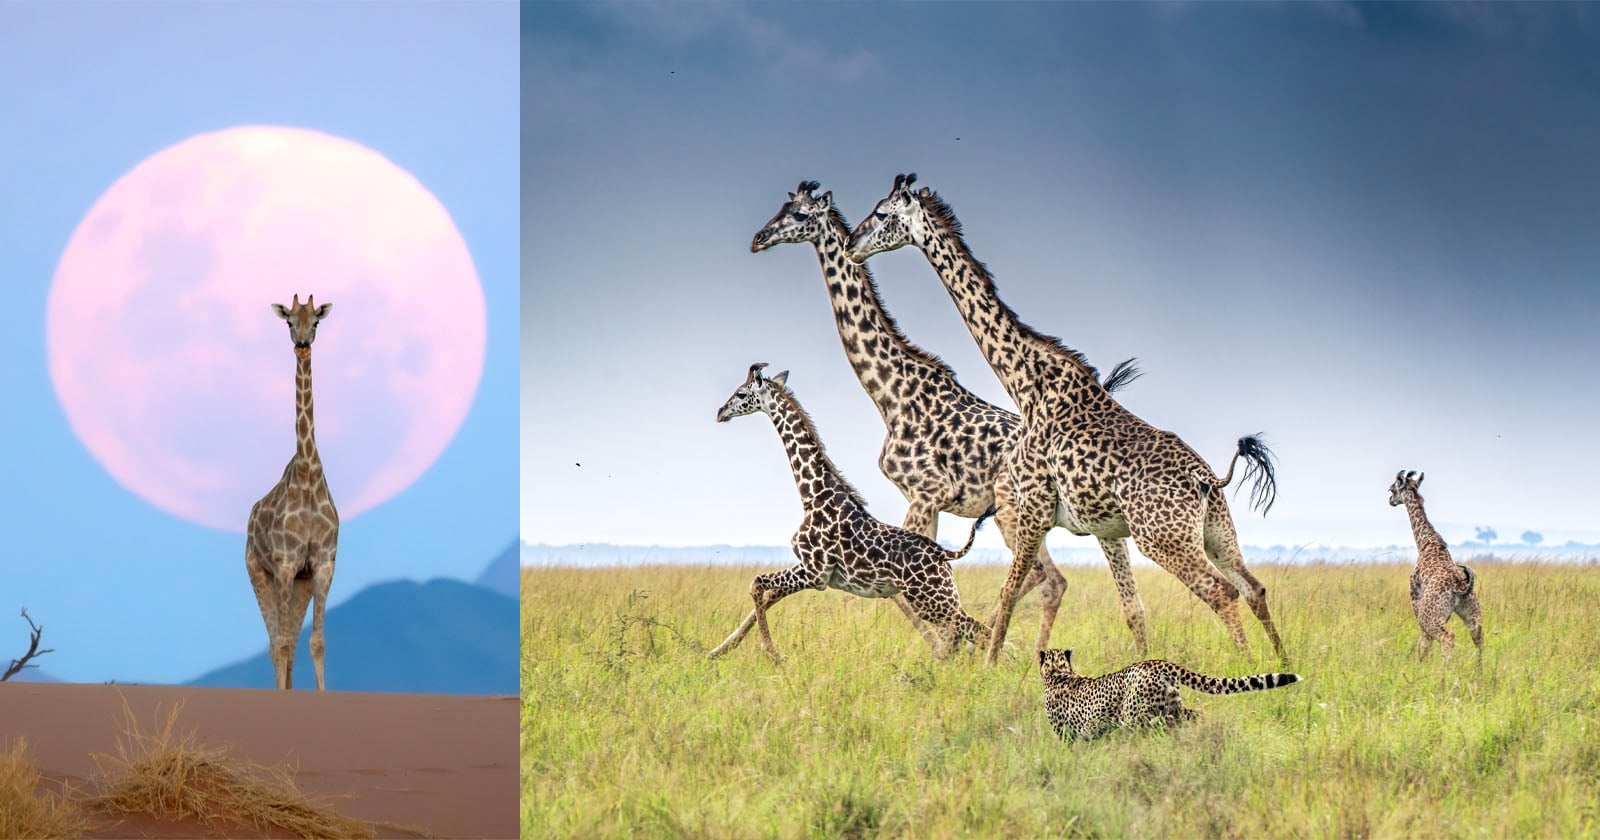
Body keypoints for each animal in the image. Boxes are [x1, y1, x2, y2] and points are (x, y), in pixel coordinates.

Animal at [707, 363, 992, 660]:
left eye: (741, 393)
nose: (720, 412)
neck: (813, 495)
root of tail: (945, 554)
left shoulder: (814, 572)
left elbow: (757, 583)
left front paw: (774, 654)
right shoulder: (811, 571)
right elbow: (765, 592)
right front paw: (720, 650)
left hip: (931, 598)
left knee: (979, 631)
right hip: (938, 598)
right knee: (967, 634)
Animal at [752, 179, 1148, 652]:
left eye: (797, 215)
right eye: (781, 207)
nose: (758, 238)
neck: (891, 393)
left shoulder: (925, 494)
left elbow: (902, 587)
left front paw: (944, 649)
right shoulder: (928, 501)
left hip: (1016, 515)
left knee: (1045, 579)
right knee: (1071, 584)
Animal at [848, 174, 1285, 666]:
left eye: (882, 213)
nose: (852, 244)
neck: (1026, 384)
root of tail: (1206, 479)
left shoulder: (1032, 505)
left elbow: (1009, 590)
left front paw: (988, 665)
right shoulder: (1095, 525)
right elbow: (1127, 606)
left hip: (1163, 538)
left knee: (1221, 592)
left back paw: (1249, 668)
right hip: (1216, 532)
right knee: (1253, 587)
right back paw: (1285, 667)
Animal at [1388, 470, 1483, 662]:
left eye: (1392, 489)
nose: (1390, 501)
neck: (1425, 542)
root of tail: (1459, 587)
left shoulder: (1416, 598)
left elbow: (1423, 642)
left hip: (1431, 616)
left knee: (1448, 636)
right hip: (1471, 611)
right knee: (1477, 634)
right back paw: (1480, 669)